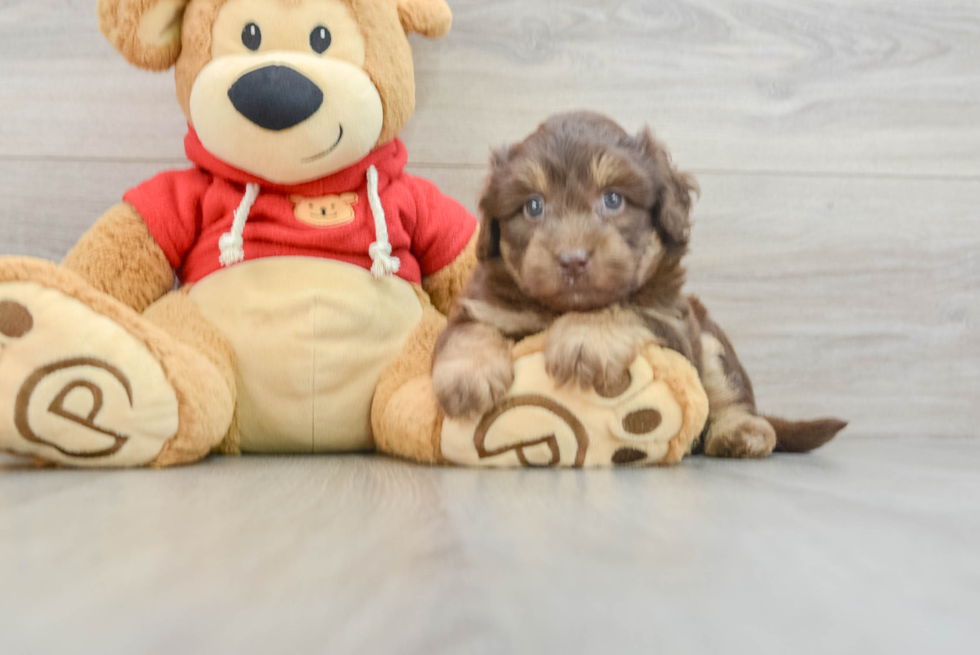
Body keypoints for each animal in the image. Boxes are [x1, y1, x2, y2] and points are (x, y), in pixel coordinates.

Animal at [432, 111, 848, 462]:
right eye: (534, 206)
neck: (560, 308)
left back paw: (742, 432)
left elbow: (623, 306)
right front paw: (468, 376)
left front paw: (584, 338)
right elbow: (467, 331)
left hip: (710, 342)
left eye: (613, 199)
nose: (572, 259)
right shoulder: (483, 303)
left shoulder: (674, 325)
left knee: (732, 397)